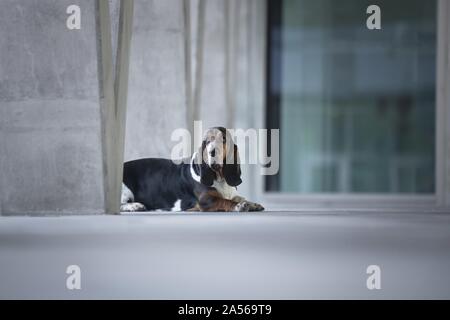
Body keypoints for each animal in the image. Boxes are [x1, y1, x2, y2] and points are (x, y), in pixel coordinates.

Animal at [121, 126, 266, 211]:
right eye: (207, 142)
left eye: (224, 139)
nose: (212, 151)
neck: (220, 178)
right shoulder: (206, 200)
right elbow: (225, 201)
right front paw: (239, 206)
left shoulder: (232, 194)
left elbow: (239, 198)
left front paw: (253, 204)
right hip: (125, 190)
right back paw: (135, 206)